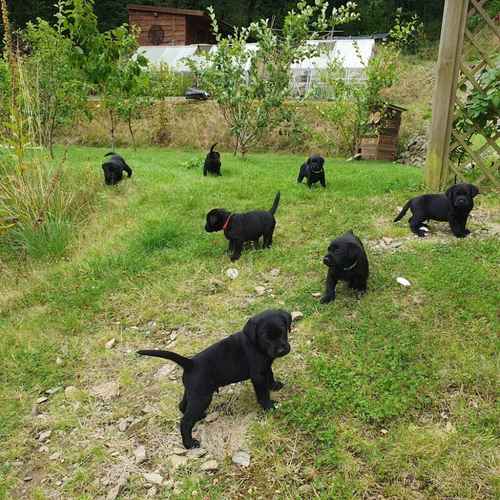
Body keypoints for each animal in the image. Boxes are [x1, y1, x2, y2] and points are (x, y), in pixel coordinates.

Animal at [137, 308, 292, 450]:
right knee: (185, 422)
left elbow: (270, 375)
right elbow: (263, 394)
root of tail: (190, 363)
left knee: (182, 406)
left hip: (194, 393)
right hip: (202, 397)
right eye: (266, 337)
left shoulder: (266, 367)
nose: (281, 350)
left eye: (282, 331)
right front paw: (269, 407)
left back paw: (199, 416)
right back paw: (189, 444)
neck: (256, 344)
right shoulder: (258, 375)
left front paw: (274, 385)